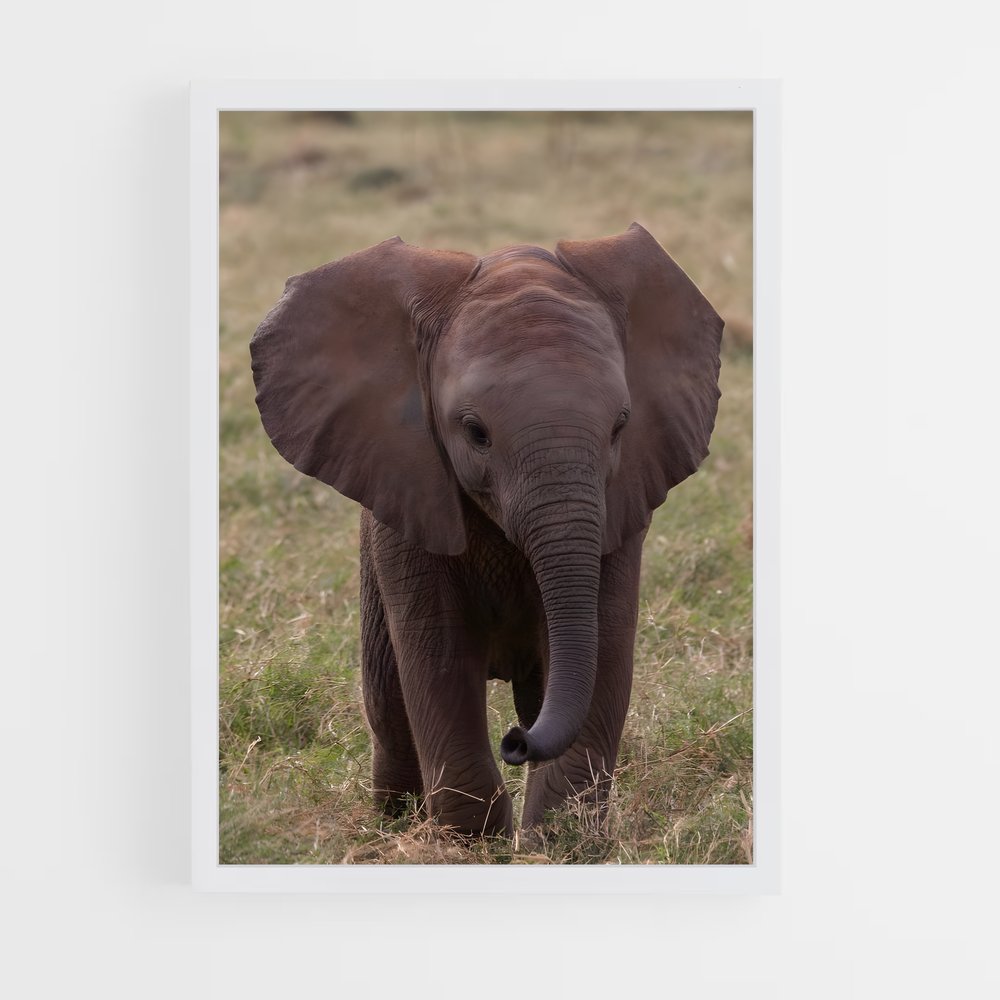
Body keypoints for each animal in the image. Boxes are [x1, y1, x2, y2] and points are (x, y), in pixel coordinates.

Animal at [250, 223, 723, 837]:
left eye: (621, 427)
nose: (515, 743)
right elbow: (438, 655)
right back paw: (394, 823)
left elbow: (606, 644)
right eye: (475, 432)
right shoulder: (408, 497)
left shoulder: (622, 504)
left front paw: (560, 842)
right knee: (390, 708)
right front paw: (473, 843)